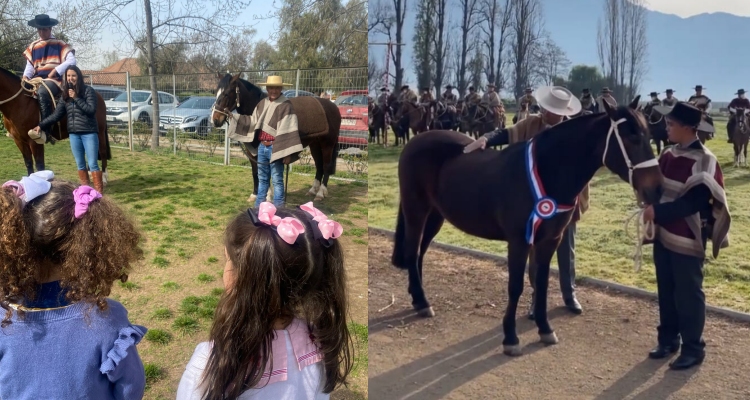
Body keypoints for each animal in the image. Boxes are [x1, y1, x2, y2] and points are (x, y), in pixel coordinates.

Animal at [212, 72, 340, 202]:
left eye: (226, 93)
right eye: (216, 93)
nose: (215, 120)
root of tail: (333, 106)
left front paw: (267, 196)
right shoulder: (252, 151)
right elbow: (255, 171)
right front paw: (255, 194)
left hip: (328, 144)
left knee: (326, 165)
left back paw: (320, 193)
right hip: (315, 144)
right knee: (319, 165)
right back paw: (313, 190)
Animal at [394, 97, 664, 356]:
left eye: (647, 134)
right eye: (631, 136)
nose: (656, 189)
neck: (549, 171)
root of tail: (416, 140)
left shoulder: (550, 240)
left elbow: (541, 283)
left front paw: (545, 329)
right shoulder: (519, 241)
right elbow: (516, 286)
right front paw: (511, 338)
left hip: (435, 215)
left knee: (419, 253)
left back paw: (417, 298)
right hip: (416, 210)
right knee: (412, 251)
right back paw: (423, 302)